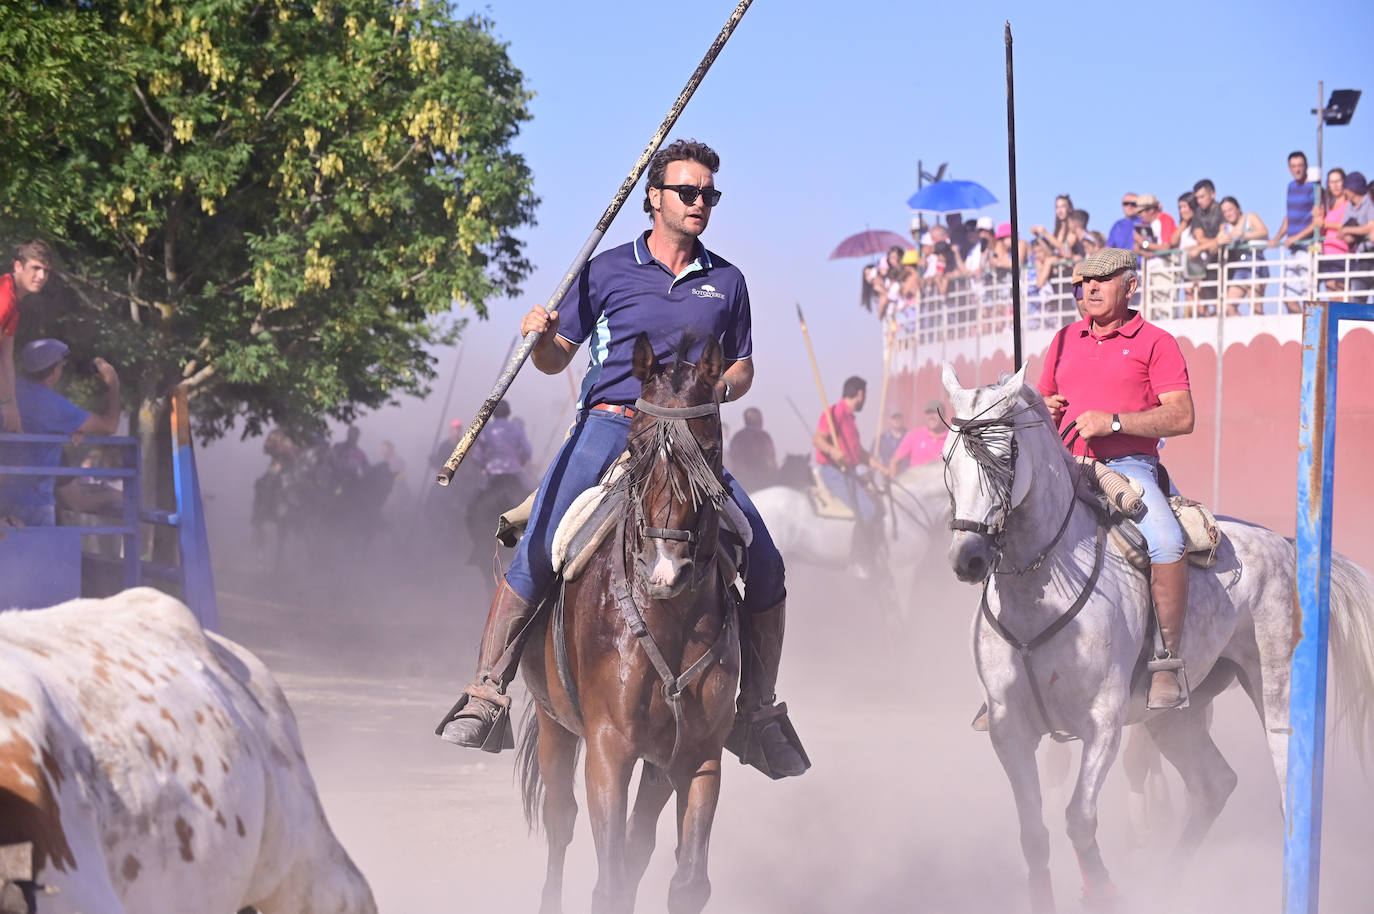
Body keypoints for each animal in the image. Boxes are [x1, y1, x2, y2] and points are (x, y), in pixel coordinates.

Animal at [516, 333, 741, 912]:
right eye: (638, 450)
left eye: (710, 452)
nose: (666, 568)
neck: (667, 617)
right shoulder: (607, 749)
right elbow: (610, 879)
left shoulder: (698, 754)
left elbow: (687, 882)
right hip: (554, 723)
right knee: (560, 821)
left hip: (659, 761)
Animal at [939, 362, 1374, 912]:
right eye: (948, 460)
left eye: (1002, 456)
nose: (968, 558)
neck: (1040, 593)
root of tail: (1285, 543)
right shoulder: (1008, 728)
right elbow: (1034, 834)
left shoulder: (1102, 724)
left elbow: (1079, 818)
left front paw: (1103, 891)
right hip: (1176, 714)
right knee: (1213, 784)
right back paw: (1167, 886)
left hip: (1277, 692)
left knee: (1286, 789)